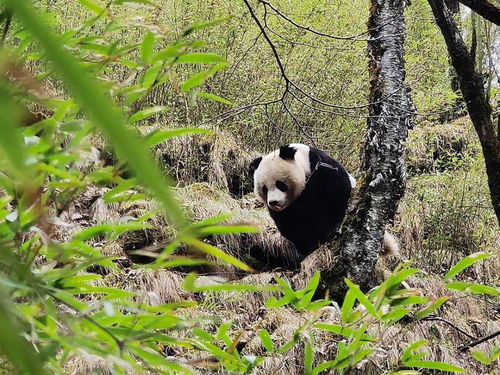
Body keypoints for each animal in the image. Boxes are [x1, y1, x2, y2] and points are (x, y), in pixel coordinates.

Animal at [248, 144, 396, 262]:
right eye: (264, 189)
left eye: (280, 184)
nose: (274, 202)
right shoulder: (286, 211)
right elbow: (292, 225)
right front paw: (308, 246)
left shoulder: (324, 169)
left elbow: (335, 200)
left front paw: (331, 232)